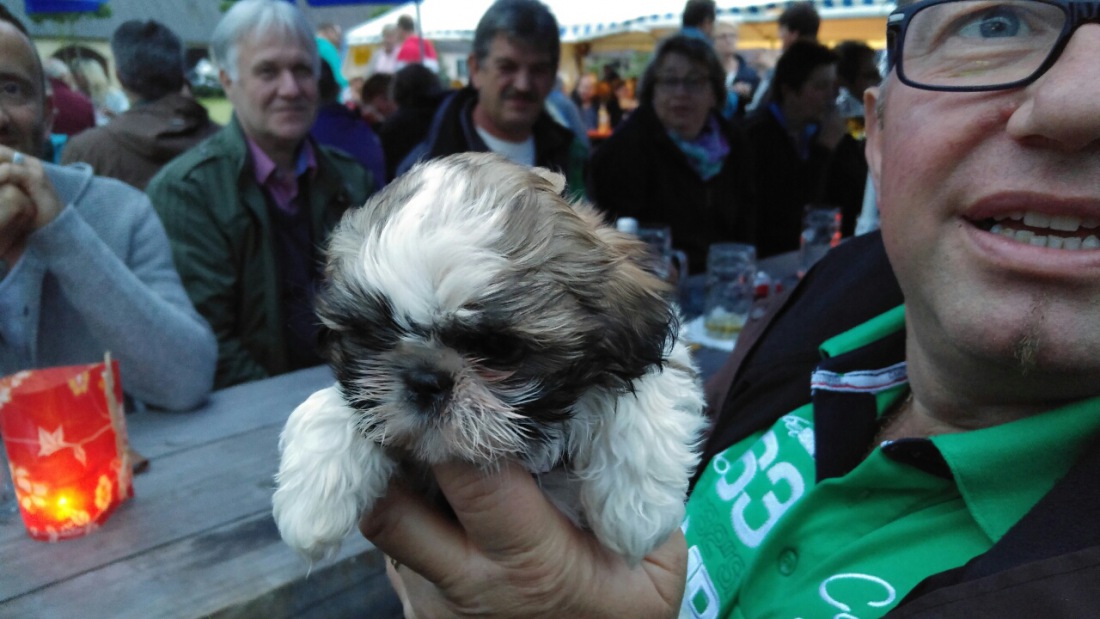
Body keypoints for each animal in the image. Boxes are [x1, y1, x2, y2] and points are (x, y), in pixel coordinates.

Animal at [270, 151, 708, 567]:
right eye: (376, 334)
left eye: (498, 348)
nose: (425, 381)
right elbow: (342, 402)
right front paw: (311, 501)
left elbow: (650, 379)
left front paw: (637, 512)